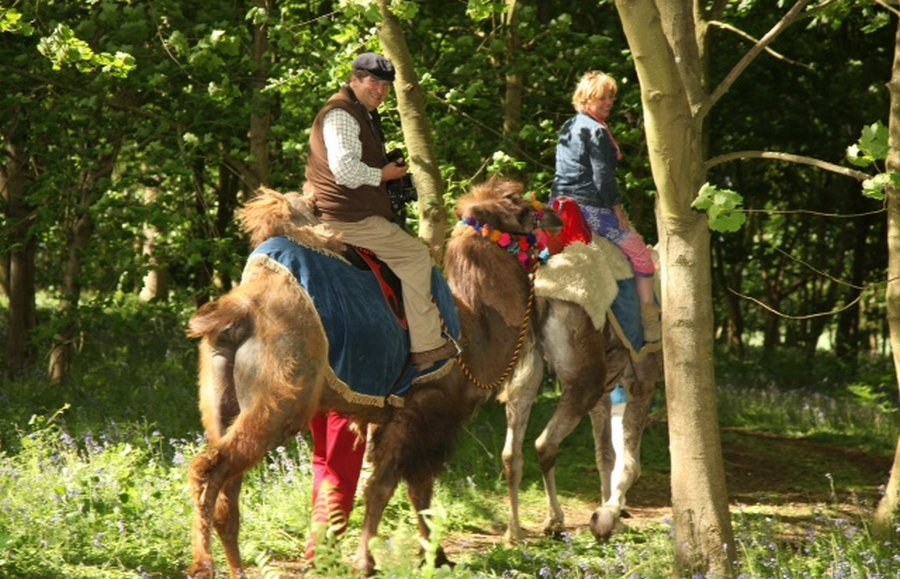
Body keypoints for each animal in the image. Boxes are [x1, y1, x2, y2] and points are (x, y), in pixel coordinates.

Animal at [185, 178, 659, 578]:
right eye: (520, 205)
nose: (561, 218)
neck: (471, 327)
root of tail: (239, 309)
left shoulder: (400, 417)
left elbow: (406, 487)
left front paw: (433, 555)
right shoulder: (426, 411)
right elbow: (395, 485)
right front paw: (374, 560)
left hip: (221, 401)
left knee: (229, 485)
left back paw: (237, 568)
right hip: (282, 395)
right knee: (211, 469)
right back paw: (205, 565)